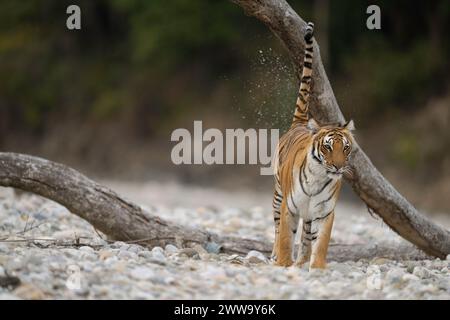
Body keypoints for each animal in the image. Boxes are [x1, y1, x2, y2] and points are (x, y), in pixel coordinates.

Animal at [270, 21, 356, 268]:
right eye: (328, 147)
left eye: (345, 147)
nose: (338, 166)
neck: (319, 178)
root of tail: (300, 123)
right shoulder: (289, 207)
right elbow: (286, 237)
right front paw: (283, 263)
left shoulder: (325, 213)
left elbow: (321, 242)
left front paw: (316, 267)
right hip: (278, 194)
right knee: (277, 228)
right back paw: (276, 255)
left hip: (308, 214)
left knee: (307, 236)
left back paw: (302, 262)